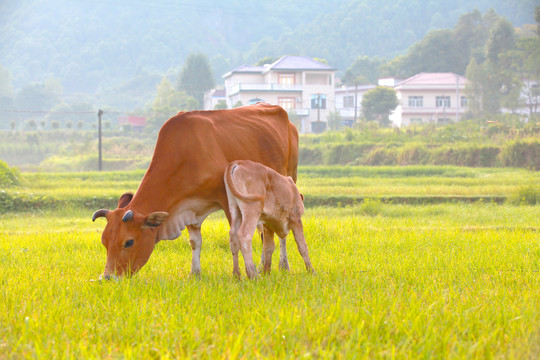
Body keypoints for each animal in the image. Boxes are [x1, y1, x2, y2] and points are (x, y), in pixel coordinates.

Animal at [90, 103, 298, 278]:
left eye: (129, 242)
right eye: (104, 241)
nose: (107, 277)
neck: (186, 153)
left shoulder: (226, 200)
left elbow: (235, 238)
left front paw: (238, 275)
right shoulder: (187, 205)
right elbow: (195, 241)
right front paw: (195, 274)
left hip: (288, 180)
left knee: (281, 227)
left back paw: (283, 265)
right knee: (264, 229)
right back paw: (264, 266)